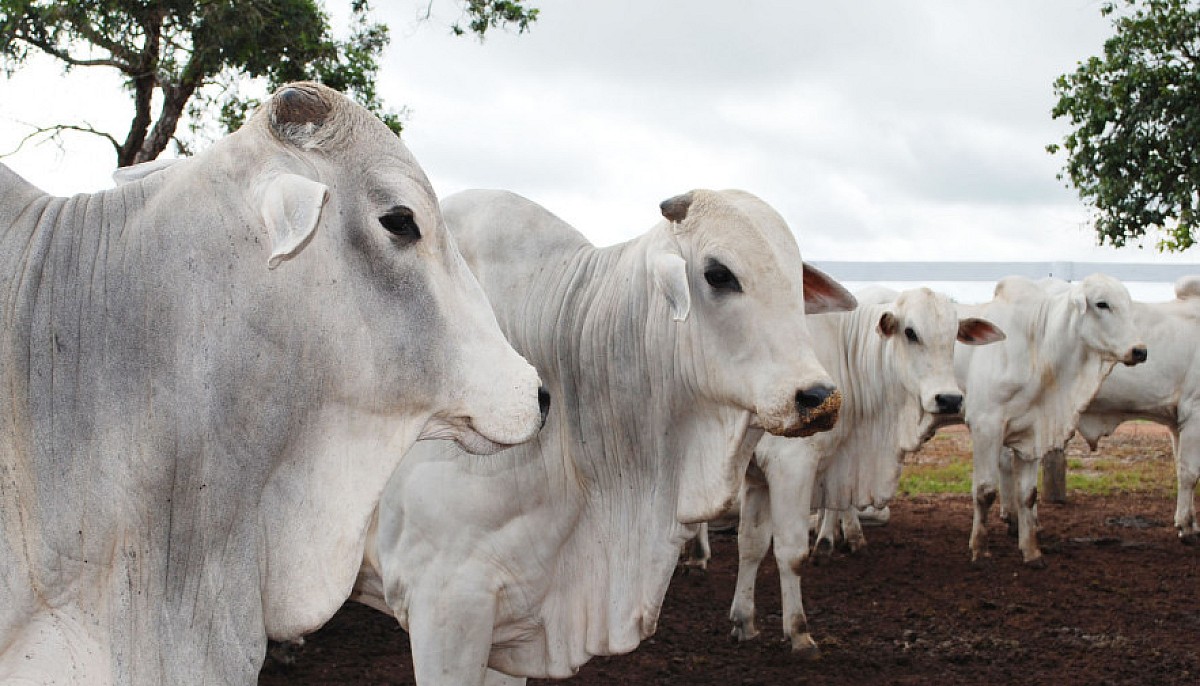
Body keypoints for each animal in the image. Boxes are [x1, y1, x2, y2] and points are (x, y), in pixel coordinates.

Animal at [686, 286, 1003, 657]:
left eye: (954, 336)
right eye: (910, 333)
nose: (950, 399)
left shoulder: (757, 477)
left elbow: (751, 544)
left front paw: (743, 622)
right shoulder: (791, 466)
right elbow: (791, 551)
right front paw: (799, 633)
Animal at [955, 273, 1142, 568]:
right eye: (1102, 304)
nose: (1139, 350)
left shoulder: (1032, 432)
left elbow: (1028, 495)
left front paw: (1031, 551)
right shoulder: (985, 426)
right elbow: (984, 491)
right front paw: (979, 549)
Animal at [1041, 277, 1200, 542]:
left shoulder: (1176, 422)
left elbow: (1182, 469)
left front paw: (1188, 522)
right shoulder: (1194, 412)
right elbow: (1190, 473)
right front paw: (1186, 528)